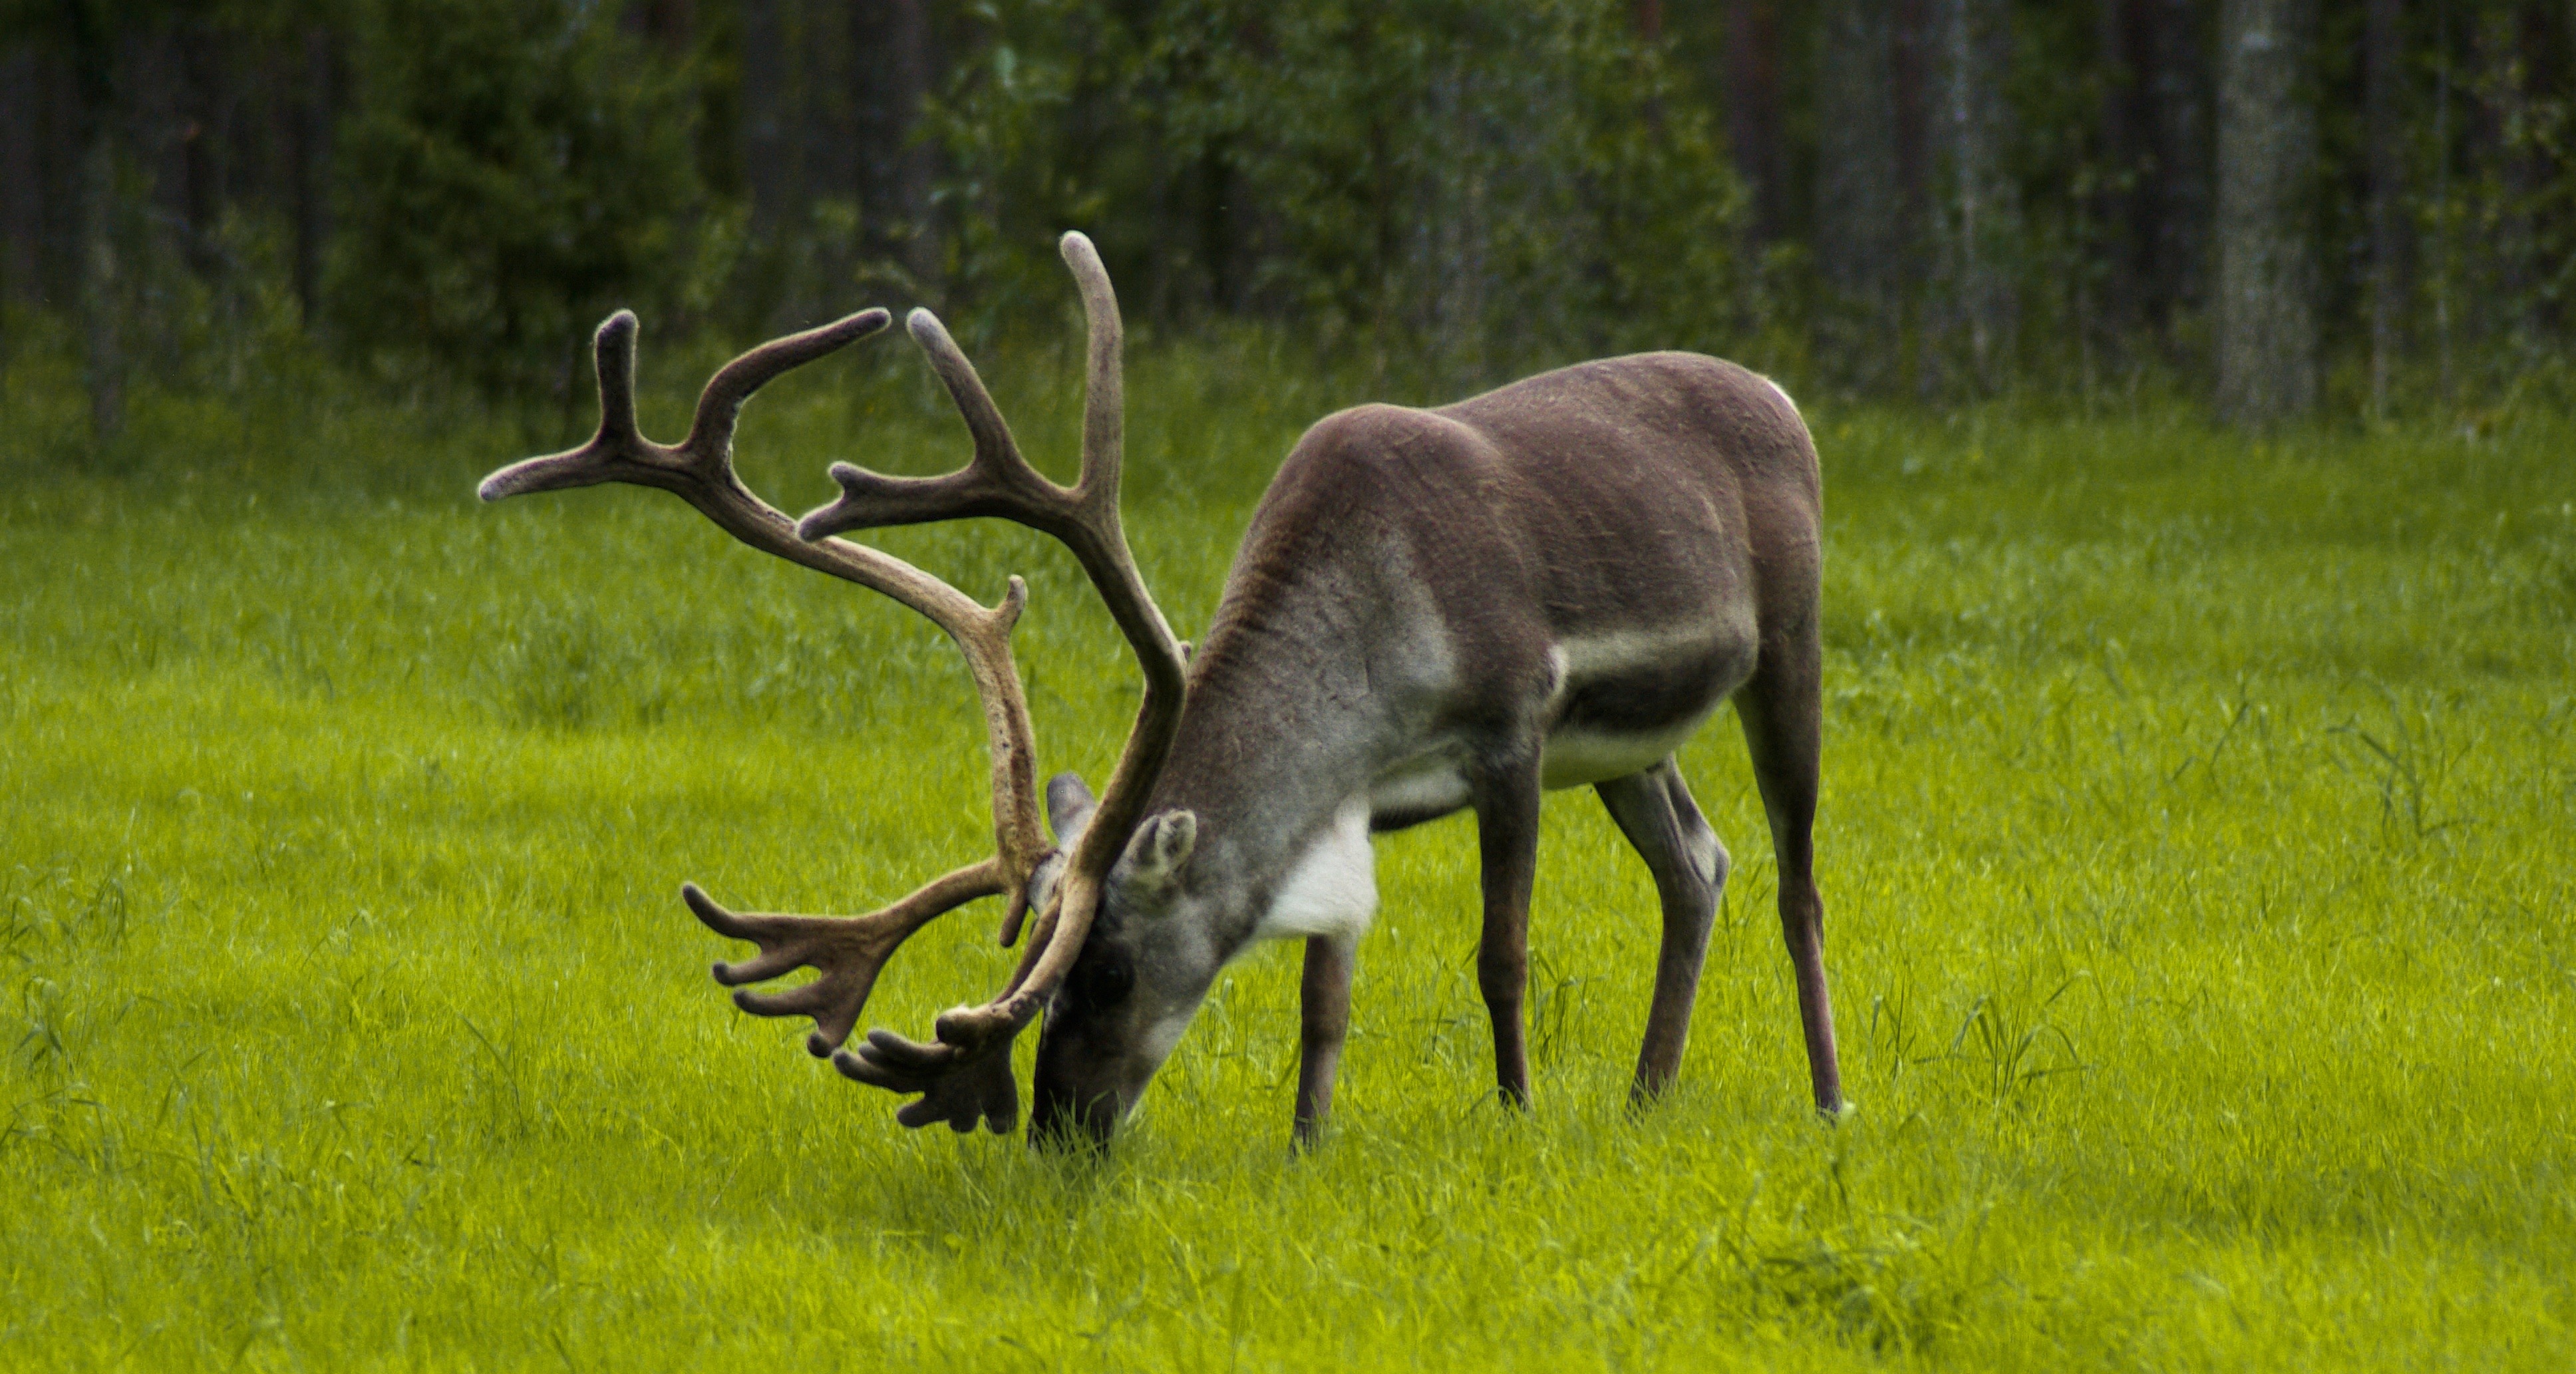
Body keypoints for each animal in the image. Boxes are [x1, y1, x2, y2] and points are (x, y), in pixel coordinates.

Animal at [477, 233, 1844, 1150]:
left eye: (1115, 972)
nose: (1059, 1132)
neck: (1377, 656)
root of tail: (1783, 394)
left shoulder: (1513, 722)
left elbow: (1499, 954)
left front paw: (1510, 1119)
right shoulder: (1358, 799)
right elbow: (1324, 991)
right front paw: (1306, 1147)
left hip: (1789, 636)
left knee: (1794, 876)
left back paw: (1829, 1099)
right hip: (1633, 746)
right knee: (1697, 864)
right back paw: (1646, 1097)